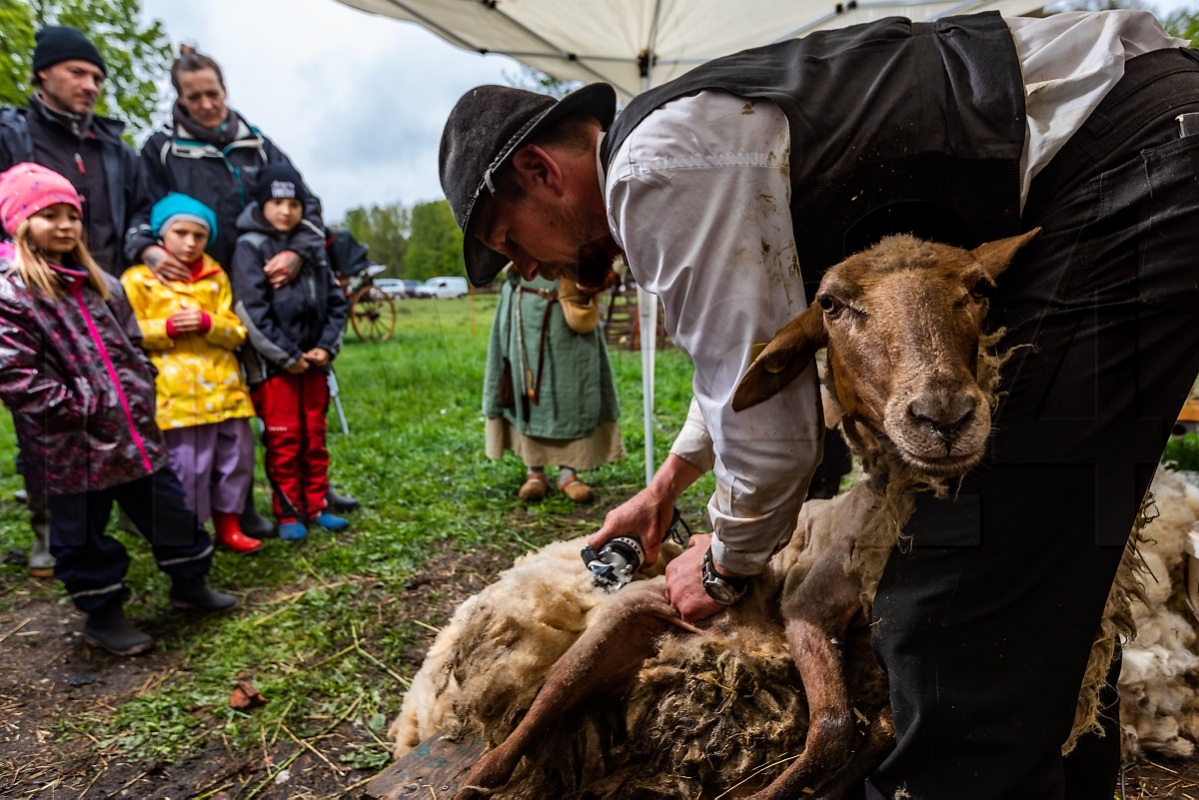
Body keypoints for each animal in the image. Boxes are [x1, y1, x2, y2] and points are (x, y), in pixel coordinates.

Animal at [386, 226, 1141, 800]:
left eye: (980, 291)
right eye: (831, 304)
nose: (945, 415)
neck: (871, 527)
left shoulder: (869, 659)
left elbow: (871, 730)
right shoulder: (806, 609)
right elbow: (833, 727)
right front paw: (768, 793)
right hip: (619, 628)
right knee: (528, 724)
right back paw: (480, 776)